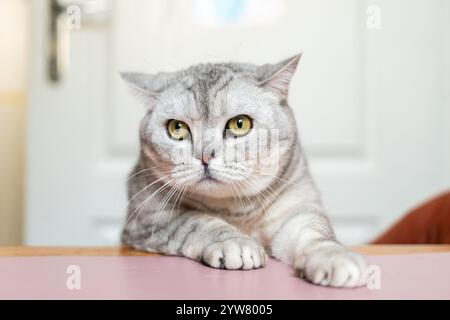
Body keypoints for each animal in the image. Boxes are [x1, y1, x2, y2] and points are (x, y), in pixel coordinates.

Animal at [121, 54, 368, 288]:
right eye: (176, 128)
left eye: (240, 124)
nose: (204, 156)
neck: (236, 210)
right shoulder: (149, 218)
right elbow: (197, 221)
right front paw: (234, 243)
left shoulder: (299, 208)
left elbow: (315, 234)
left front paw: (335, 258)